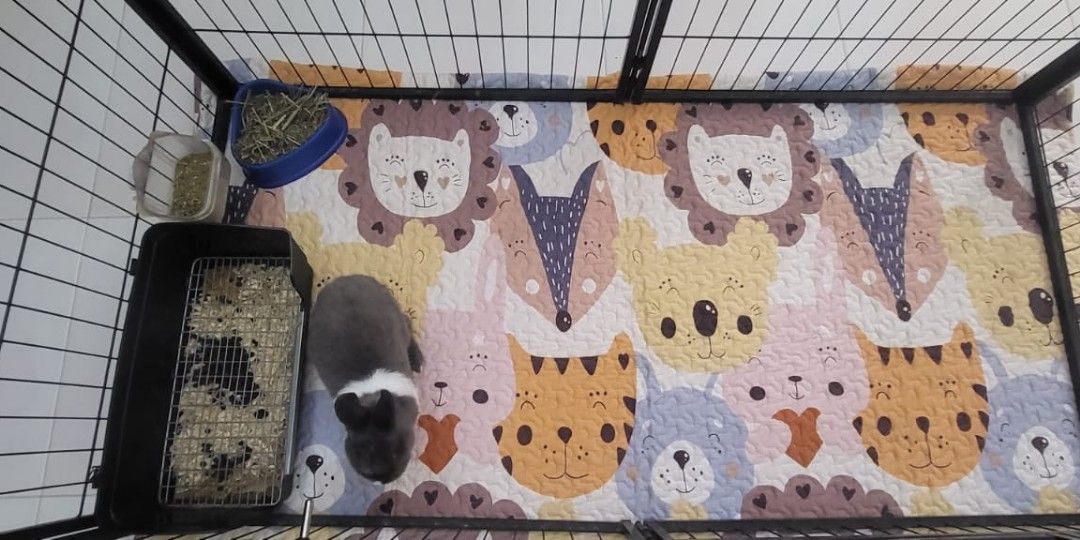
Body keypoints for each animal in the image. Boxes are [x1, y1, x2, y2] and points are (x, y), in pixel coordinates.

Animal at [308, 275, 423, 483]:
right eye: (357, 452)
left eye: (396, 450)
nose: (381, 479)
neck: (371, 399)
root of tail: (346, 279)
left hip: (399, 317)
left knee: (408, 327)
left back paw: (418, 363)